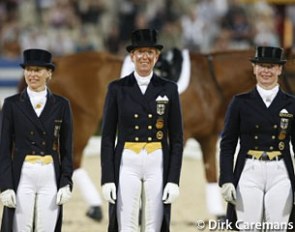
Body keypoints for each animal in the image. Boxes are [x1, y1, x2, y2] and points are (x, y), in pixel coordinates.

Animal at [17, 48, 295, 218]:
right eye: (291, 72)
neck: (209, 82)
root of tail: (62, 61)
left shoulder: (208, 137)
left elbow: (210, 171)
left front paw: (218, 214)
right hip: (84, 120)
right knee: (73, 159)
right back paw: (95, 206)